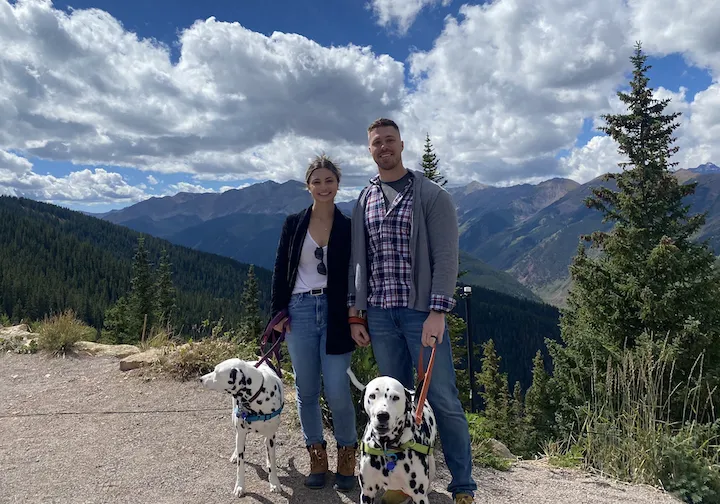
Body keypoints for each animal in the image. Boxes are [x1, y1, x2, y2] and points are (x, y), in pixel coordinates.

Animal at [201, 358, 286, 496]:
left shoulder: (271, 436)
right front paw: (240, 486)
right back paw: (235, 455)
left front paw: (274, 483)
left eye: (217, 373)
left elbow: (272, 462)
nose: (200, 379)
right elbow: (240, 466)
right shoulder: (241, 434)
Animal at [346, 366, 436, 504]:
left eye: (395, 397)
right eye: (372, 396)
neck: (386, 445)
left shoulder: (419, 496)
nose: (382, 415)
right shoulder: (367, 493)